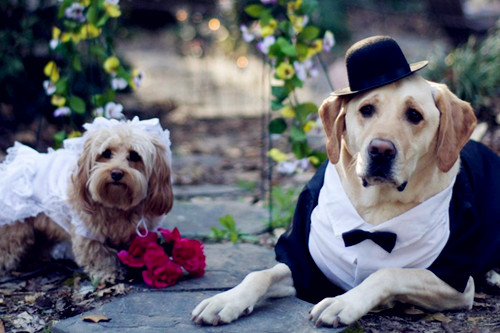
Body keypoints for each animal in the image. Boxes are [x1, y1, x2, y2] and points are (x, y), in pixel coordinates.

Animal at [192, 36, 500, 326]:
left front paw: (343, 302)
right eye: (366, 109)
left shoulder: (455, 282)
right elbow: (260, 274)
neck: (375, 207)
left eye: (415, 115)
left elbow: (387, 273)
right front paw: (226, 300)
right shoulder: (302, 263)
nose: (380, 150)